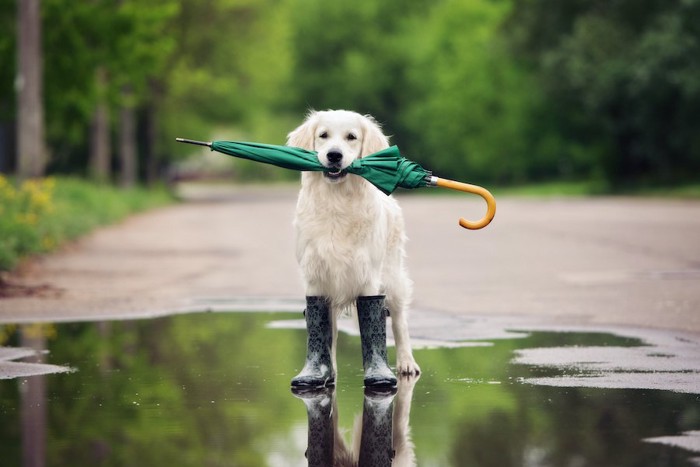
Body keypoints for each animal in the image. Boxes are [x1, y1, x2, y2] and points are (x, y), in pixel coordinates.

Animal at [286, 110, 418, 380]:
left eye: (351, 137)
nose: (334, 155)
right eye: (323, 135)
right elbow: (324, 329)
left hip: (393, 277)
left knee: (399, 321)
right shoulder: (316, 276)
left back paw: (406, 363)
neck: (337, 202)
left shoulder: (368, 276)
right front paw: (322, 371)